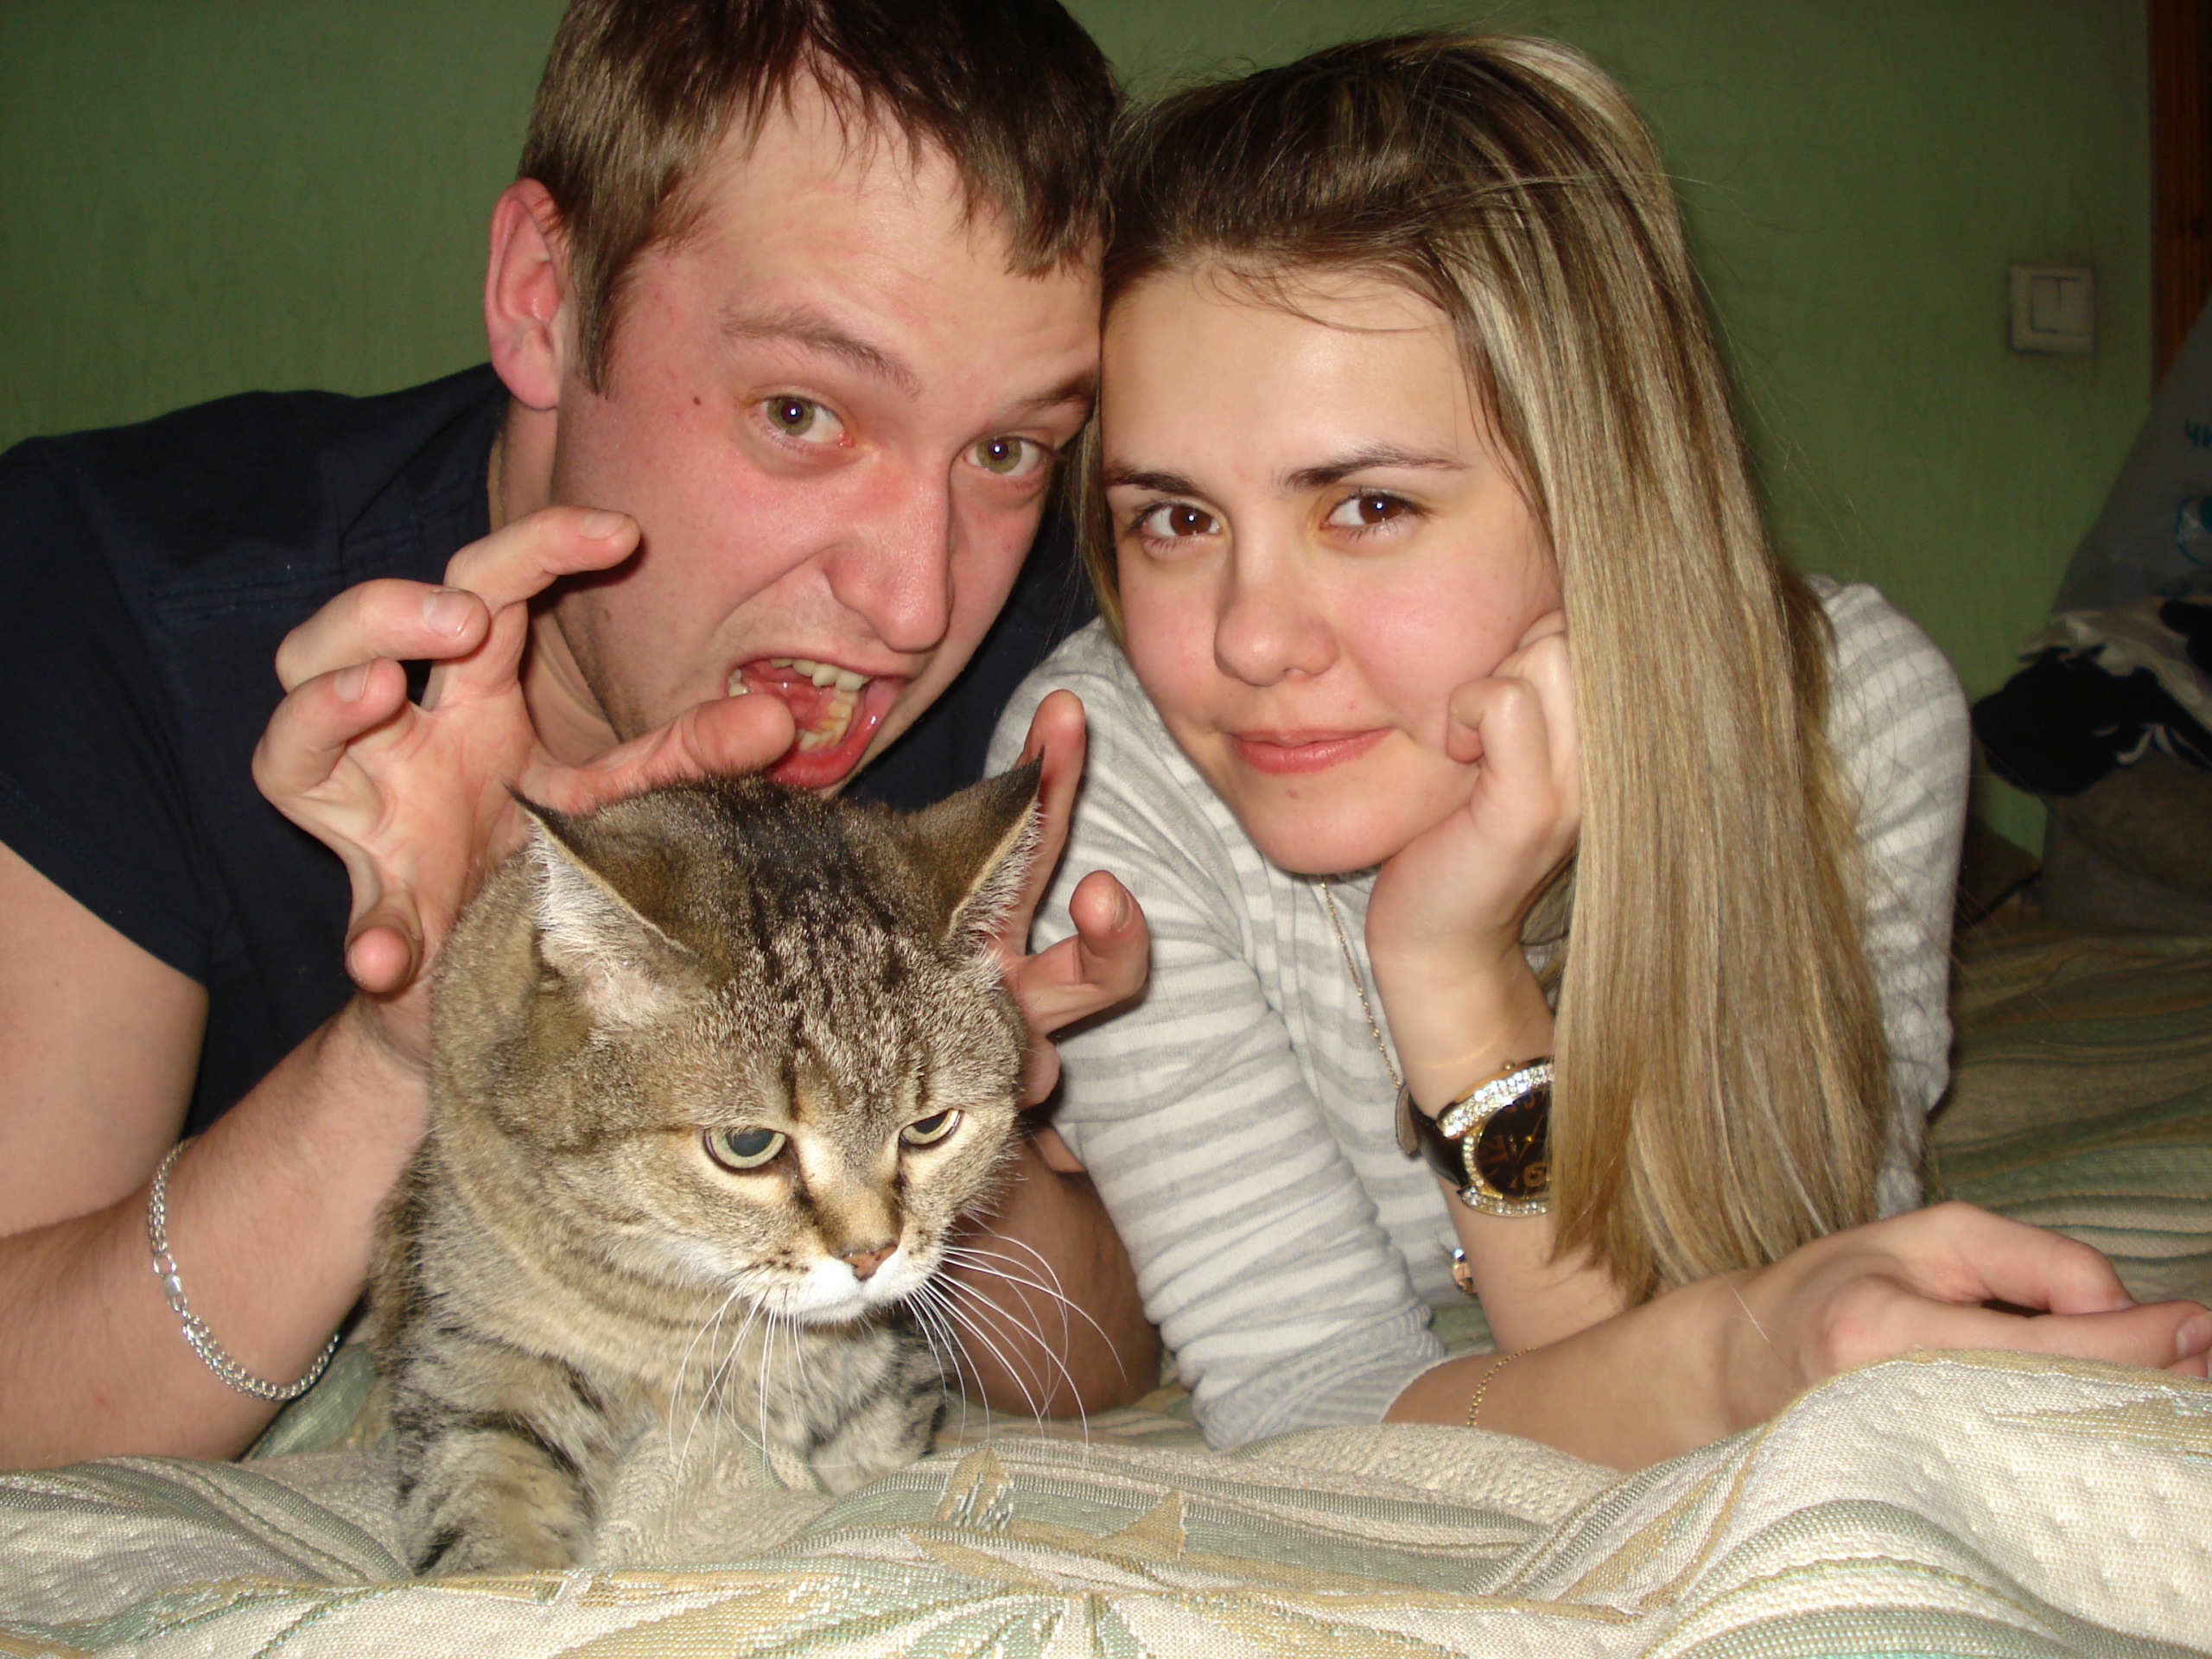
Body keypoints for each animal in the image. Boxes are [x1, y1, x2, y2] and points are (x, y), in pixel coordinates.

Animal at [368, 763, 1041, 1576]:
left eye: (928, 1128)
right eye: (748, 1144)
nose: (870, 1254)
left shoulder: (884, 1382)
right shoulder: (482, 1354)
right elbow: (487, 1517)